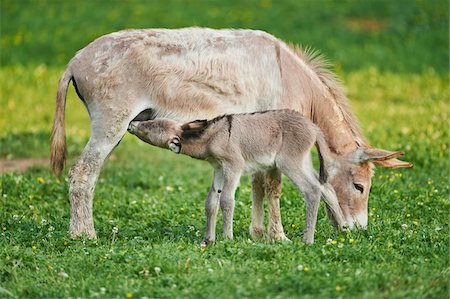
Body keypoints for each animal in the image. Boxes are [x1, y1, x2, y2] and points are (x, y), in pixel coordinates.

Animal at [128, 109, 346, 245]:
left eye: (150, 128)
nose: (131, 123)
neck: (210, 137)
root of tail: (314, 127)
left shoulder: (233, 166)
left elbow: (226, 200)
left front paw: (227, 237)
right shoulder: (218, 168)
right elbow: (211, 202)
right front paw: (208, 240)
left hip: (290, 163)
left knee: (312, 190)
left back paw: (307, 240)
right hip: (302, 161)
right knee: (325, 186)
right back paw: (343, 228)